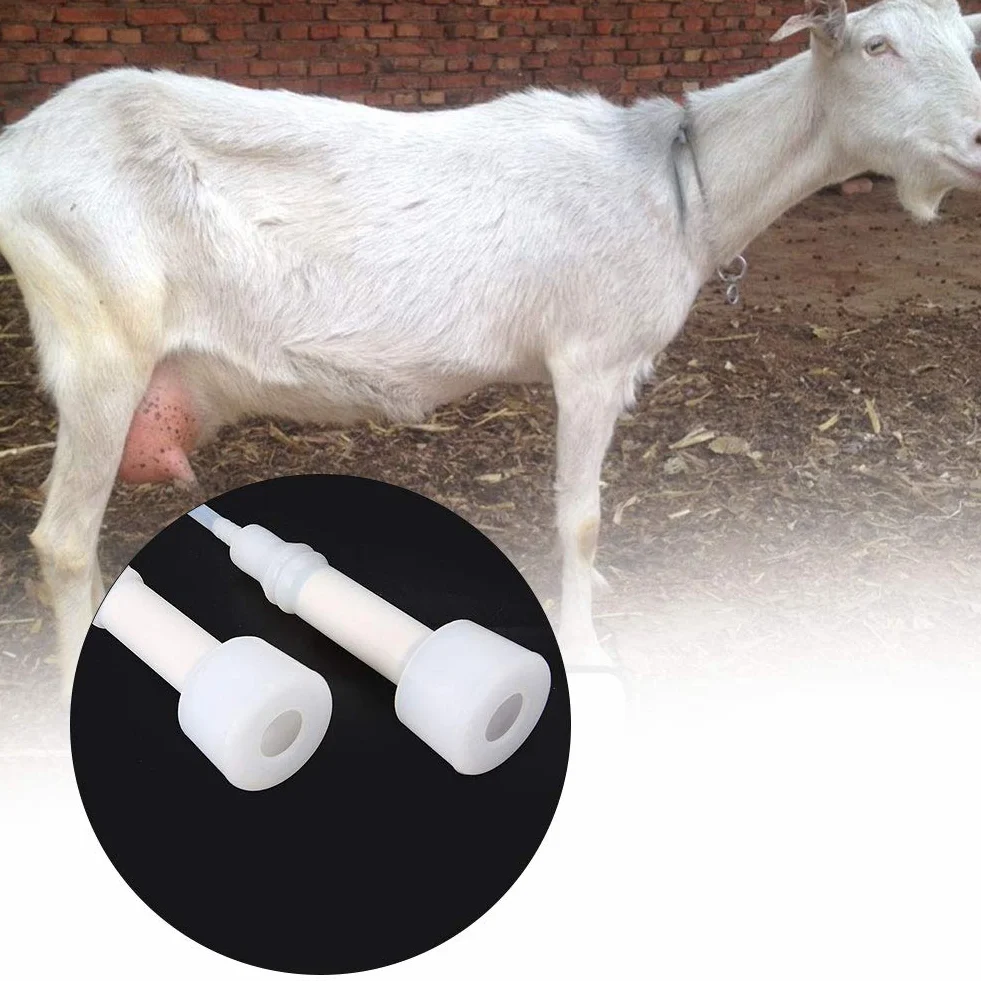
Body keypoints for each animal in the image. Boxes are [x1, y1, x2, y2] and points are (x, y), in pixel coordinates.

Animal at [1, 0, 980, 696]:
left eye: (967, 46)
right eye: (877, 47)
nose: (977, 137)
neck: (677, 183)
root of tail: (20, 148)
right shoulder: (591, 358)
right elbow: (580, 517)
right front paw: (587, 645)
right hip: (101, 344)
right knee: (61, 540)